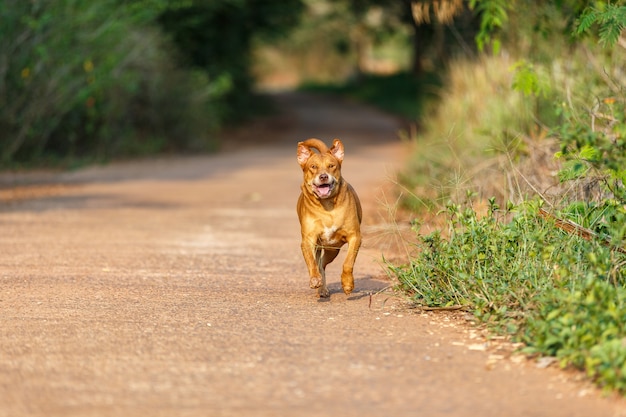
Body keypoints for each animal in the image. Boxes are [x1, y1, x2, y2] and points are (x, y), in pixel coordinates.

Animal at [296, 138, 360, 298]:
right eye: (313, 167)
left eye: (331, 166)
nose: (323, 176)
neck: (327, 206)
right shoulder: (308, 240)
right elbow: (312, 263)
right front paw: (314, 280)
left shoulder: (355, 236)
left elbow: (348, 262)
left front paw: (347, 284)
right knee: (320, 265)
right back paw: (321, 288)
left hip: (333, 249)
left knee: (323, 264)